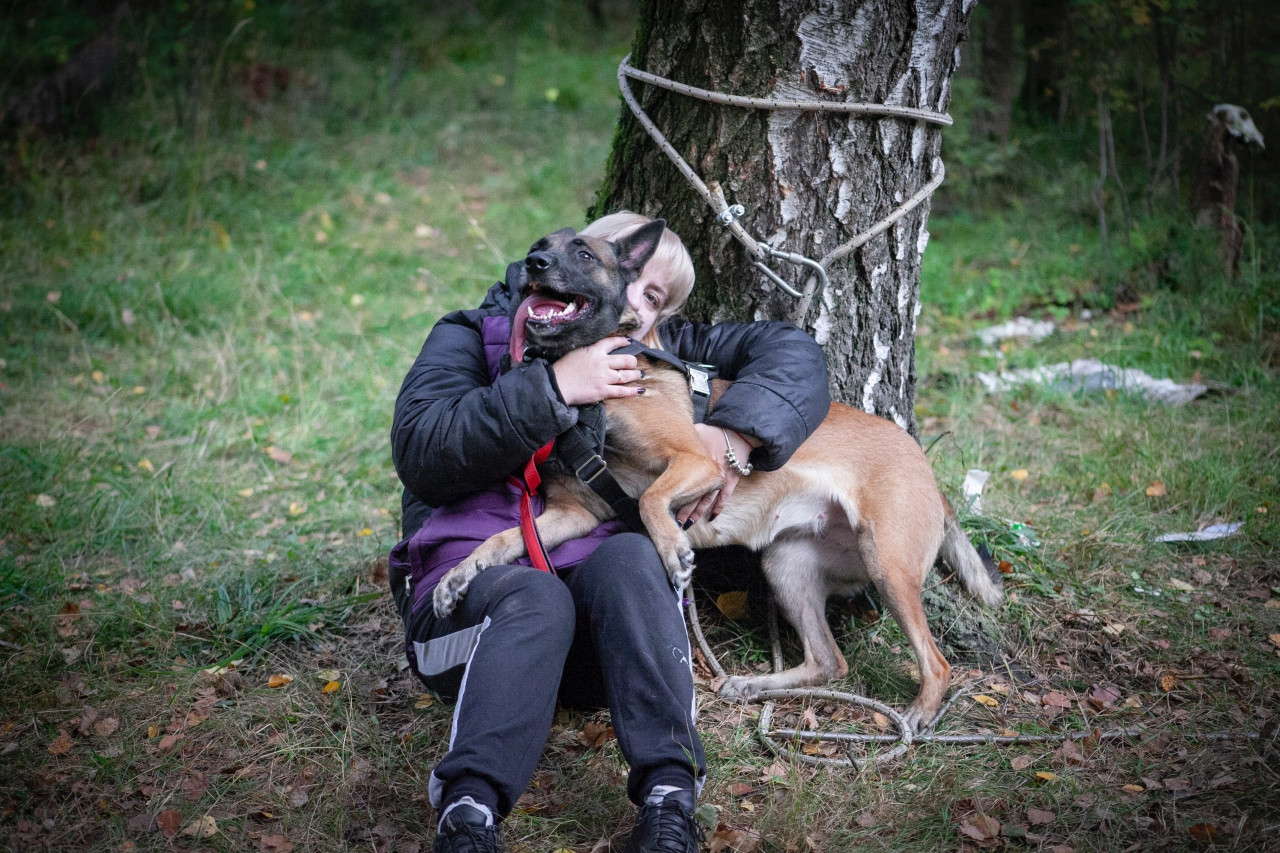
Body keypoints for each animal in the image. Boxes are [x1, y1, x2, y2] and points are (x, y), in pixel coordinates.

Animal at [435, 222, 1003, 727]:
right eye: (540, 246)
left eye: (584, 255)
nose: (534, 263)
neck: (588, 392)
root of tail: (926, 469)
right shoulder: (573, 513)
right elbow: (506, 537)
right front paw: (456, 576)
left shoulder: (696, 462)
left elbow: (649, 501)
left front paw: (672, 550)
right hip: (786, 566)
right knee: (829, 661)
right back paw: (753, 685)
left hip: (887, 563)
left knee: (936, 662)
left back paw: (919, 716)